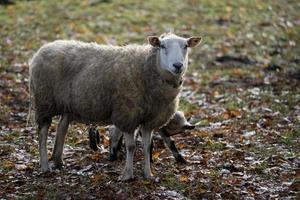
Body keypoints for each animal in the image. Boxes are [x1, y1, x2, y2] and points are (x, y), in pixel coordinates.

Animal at [29, 32, 200, 180]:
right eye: (162, 46)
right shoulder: (127, 115)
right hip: (44, 101)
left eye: (186, 46)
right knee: (43, 133)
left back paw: (58, 160)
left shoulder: (151, 120)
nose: (177, 65)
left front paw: (148, 175)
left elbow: (146, 146)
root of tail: (43, 49)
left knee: (62, 128)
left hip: (67, 104)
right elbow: (131, 146)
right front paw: (127, 175)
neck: (146, 68)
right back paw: (45, 166)